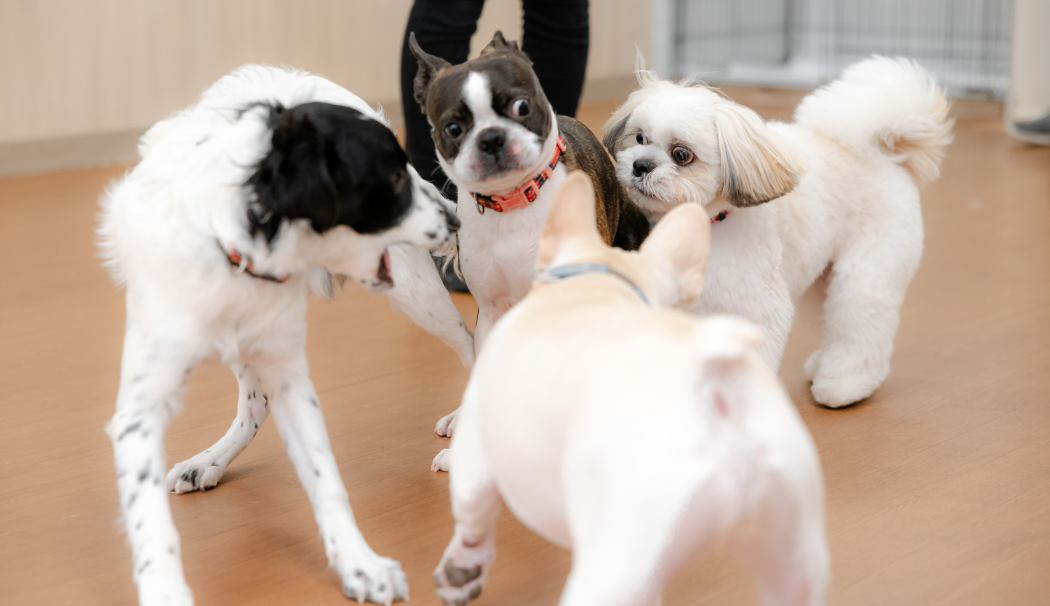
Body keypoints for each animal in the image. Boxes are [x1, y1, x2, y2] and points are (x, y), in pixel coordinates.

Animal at [97, 63, 468, 600]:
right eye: (388, 178)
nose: (453, 216)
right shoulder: (143, 405)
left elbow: (326, 479)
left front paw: (360, 564)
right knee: (254, 406)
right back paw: (211, 460)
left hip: (414, 292)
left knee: (473, 344)